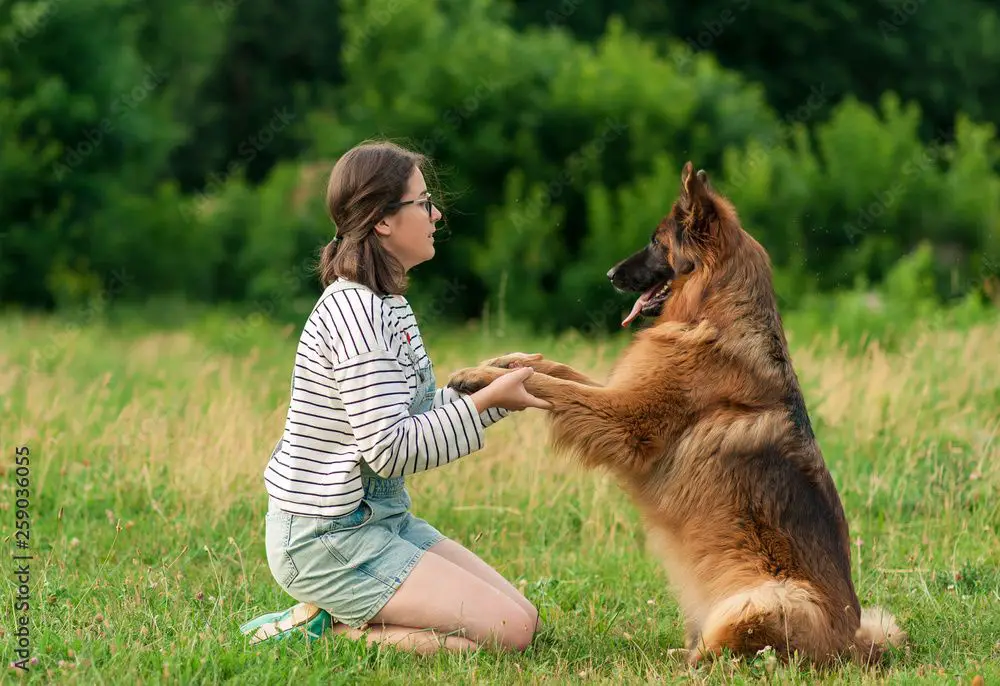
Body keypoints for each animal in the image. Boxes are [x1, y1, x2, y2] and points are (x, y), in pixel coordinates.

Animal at [448, 164, 908, 668]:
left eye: (656, 241)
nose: (610, 275)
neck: (712, 313)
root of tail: (854, 646)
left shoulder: (626, 420)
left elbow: (554, 386)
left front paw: (485, 377)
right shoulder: (620, 390)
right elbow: (552, 369)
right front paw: (498, 364)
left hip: (768, 601)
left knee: (729, 654)